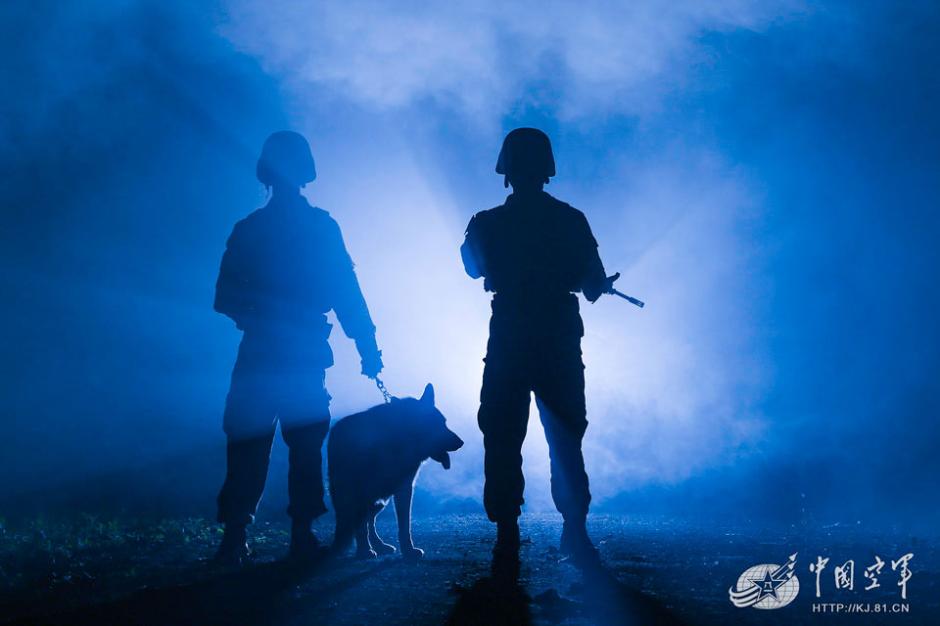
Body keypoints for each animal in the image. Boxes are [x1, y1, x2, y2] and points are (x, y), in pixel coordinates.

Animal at [328, 382, 464, 560]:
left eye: (444, 422)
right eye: (437, 424)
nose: (461, 443)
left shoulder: (404, 489)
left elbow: (404, 526)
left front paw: (408, 550)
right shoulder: (359, 492)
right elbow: (361, 527)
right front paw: (364, 551)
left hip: (380, 501)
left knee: (370, 521)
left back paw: (379, 545)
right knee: (360, 521)